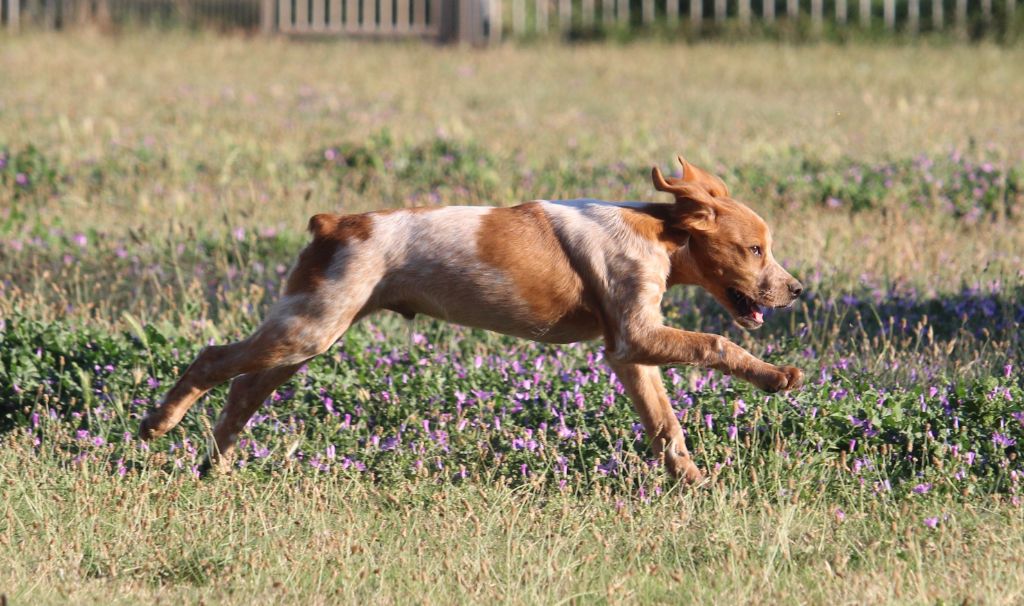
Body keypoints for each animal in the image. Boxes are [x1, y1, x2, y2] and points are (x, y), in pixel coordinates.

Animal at [140, 156, 802, 483]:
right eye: (754, 250)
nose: (797, 290)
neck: (661, 233)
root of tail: (336, 223)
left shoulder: (627, 350)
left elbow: (665, 424)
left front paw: (691, 478)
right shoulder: (637, 336)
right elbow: (715, 342)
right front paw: (776, 376)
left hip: (309, 332)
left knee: (242, 391)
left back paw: (215, 465)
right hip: (309, 327)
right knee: (212, 360)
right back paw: (158, 422)